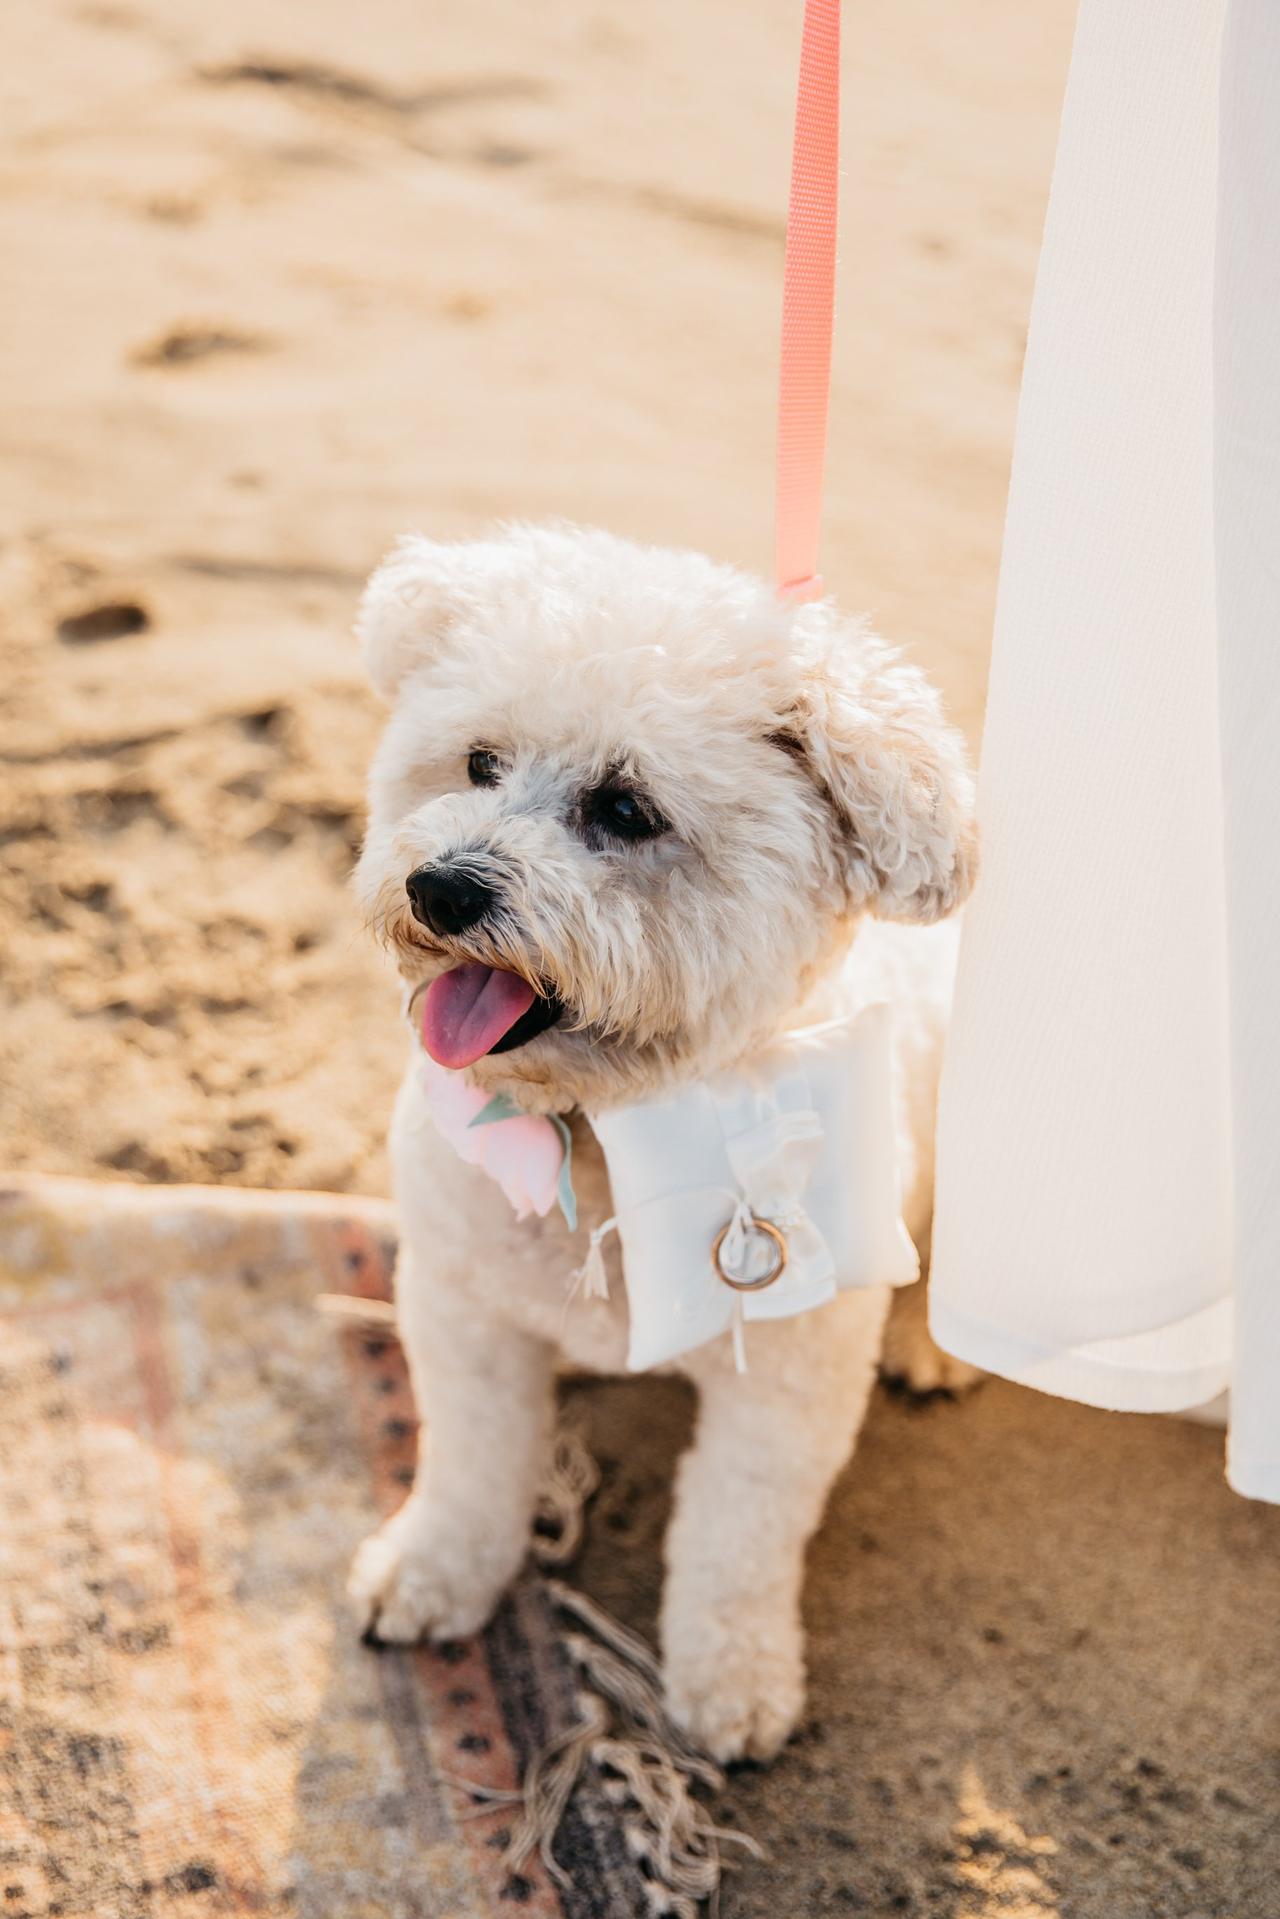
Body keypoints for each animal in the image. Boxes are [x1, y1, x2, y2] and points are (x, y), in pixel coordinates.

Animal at [345, 525, 974, 1765]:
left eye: (626, 809)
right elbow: (470, 1464)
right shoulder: (460, 1309)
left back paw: (932, 1338)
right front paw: (434, 1570)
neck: (601, 1130)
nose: (438, 886)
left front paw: (731, 1681)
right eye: (478, 761)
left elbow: (737, 1539)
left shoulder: (786, 1381)